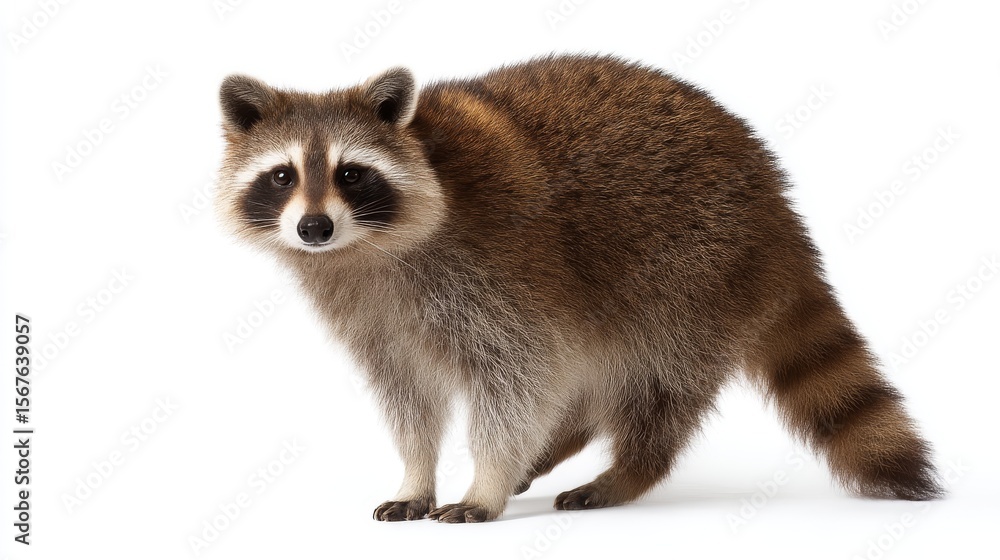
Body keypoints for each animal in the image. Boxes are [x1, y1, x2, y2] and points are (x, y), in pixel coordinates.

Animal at [216, 55, 942, 523]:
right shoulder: (370, 313)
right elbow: (410, 397)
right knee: (592, 379)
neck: (364, 251)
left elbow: (517, 377)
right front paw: (417, 471)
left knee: (658, 388)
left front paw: (486, 480)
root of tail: (775, 200)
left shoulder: (493, 269)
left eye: (351, 173)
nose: (313, 228)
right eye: (282, 176)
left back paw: (628, 470)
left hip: (691, 272)